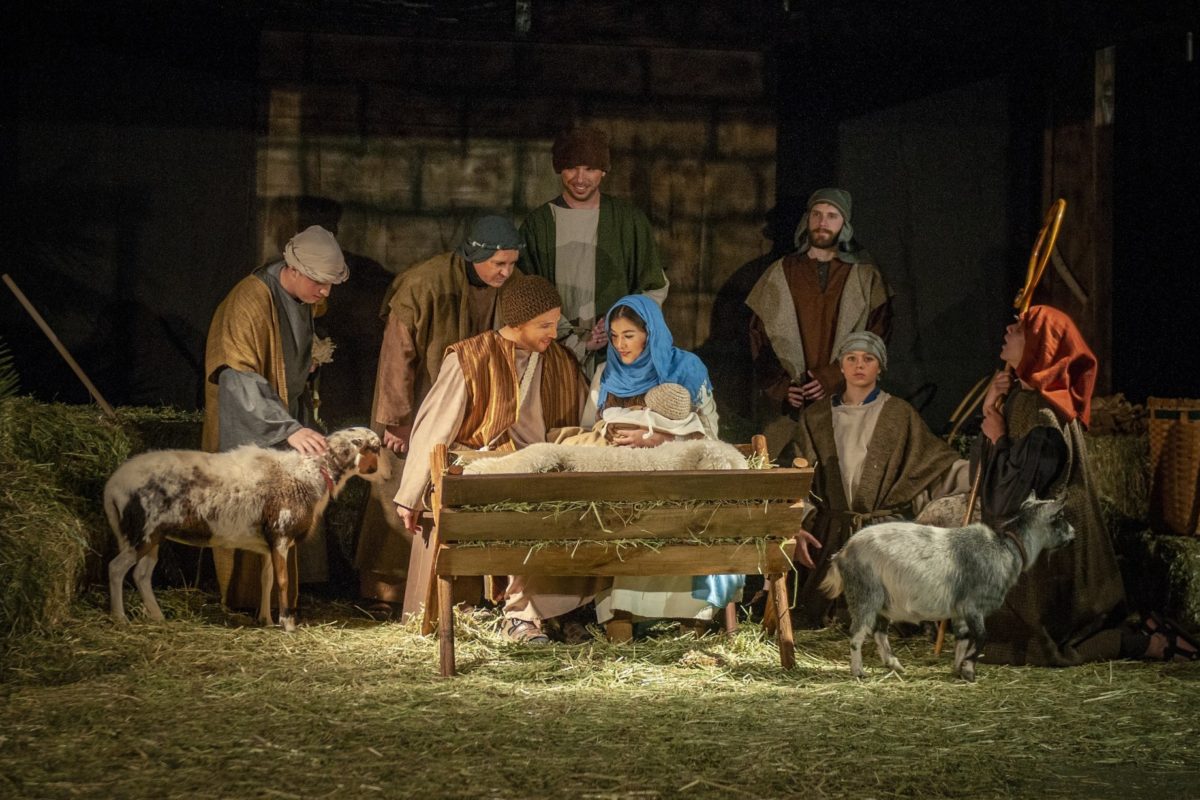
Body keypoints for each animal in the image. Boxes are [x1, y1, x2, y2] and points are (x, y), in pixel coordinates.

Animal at [106, 424, 388, 633]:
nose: (386, 476)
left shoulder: (268, 543)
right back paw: (121, 618)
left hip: (152, 536)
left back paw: (157, 617)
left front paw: (267, 619)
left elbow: (267, 580)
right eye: (375, 448)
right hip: (141, 531)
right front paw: (288, 624)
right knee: (117, 568)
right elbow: (283, 581)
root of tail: (113, 486)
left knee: (141, 575)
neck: (311, 472)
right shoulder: (281, 535)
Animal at [820, 494, 1075, 681]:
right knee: (857, 634)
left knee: (879, 633)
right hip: (865, 594)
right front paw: (970, 670)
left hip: (883, 601)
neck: (1006, 550)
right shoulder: (973, 606)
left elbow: (962, 638)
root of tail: (842, 554)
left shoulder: (960, 611)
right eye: (1060, 516)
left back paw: (894, 664)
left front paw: (958, 669)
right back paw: (858, 671)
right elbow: (981, 637)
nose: (1074, 534)